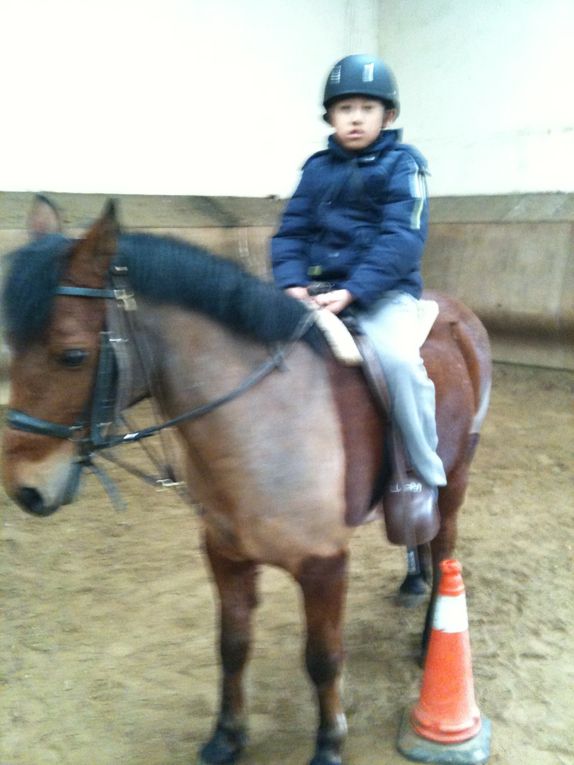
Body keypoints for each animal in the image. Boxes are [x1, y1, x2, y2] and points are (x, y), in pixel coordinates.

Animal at [2, 201, 492, 764]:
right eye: (10, 348)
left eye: (73, 355)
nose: (25, 489)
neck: (263, 422)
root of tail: (457, 312)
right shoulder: (226, 555)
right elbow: (232, 646)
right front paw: (227, 735)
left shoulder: (324, 566)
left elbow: (323, 656)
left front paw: (329, 742)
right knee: (421, 538)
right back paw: (413, 580)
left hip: (456, 474)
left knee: (444, 541)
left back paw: (431, 630)